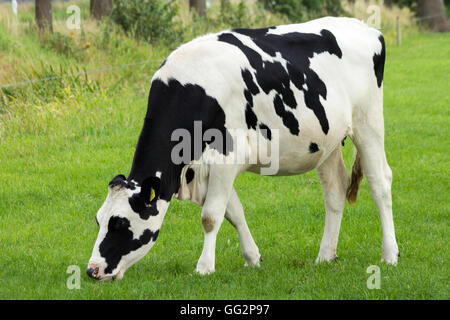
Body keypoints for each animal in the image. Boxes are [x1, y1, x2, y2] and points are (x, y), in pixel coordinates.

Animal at [86, 17, 400, 282]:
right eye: (98, 219)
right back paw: (325, 256)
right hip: (327, 140)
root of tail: (367, 28)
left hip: (368, 121)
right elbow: (233, 212)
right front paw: (252, 258)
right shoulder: (209, 167)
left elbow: (211, 216)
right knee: (335, 189)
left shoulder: (226, 155)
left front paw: (204, 267)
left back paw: (390, 254)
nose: (92, 270)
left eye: (119, 224)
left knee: (380, 182)